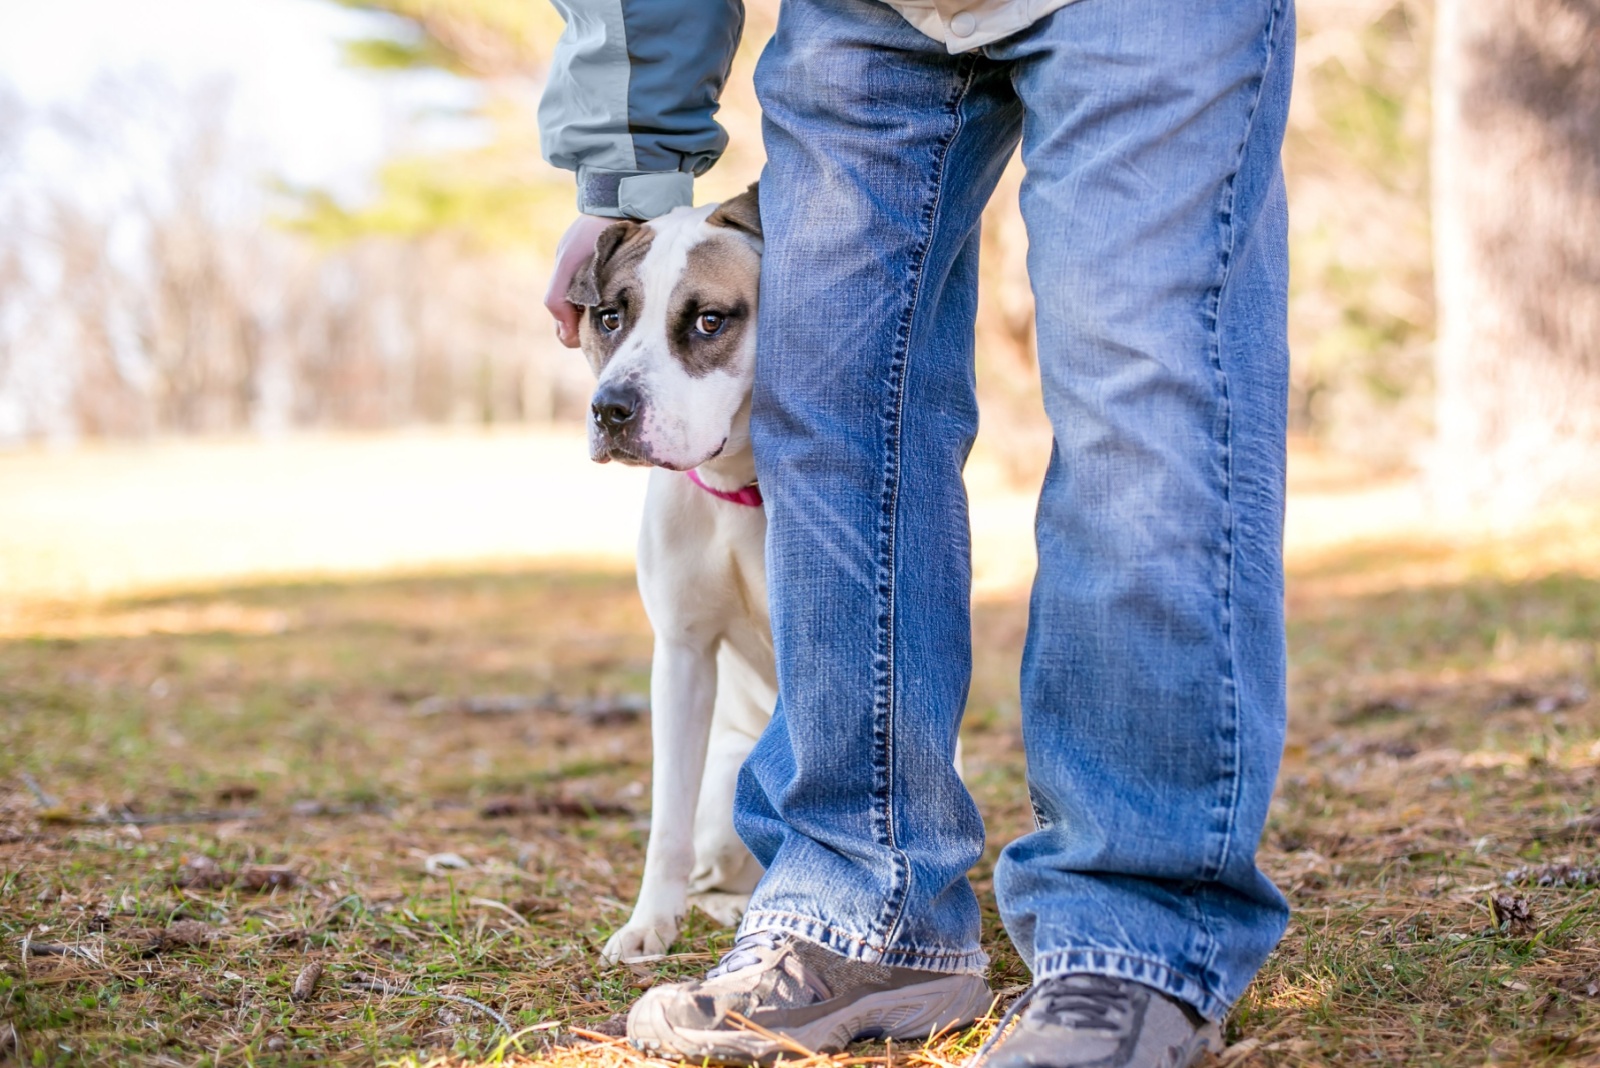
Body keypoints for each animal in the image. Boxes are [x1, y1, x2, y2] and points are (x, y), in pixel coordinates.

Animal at [569, 179, 774, 965]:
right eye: (609, 317)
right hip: (727, 793)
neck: (743, 486)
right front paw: (649, 922)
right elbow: (667, 823)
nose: (611, 409)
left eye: (710, 320)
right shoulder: (683, 655)